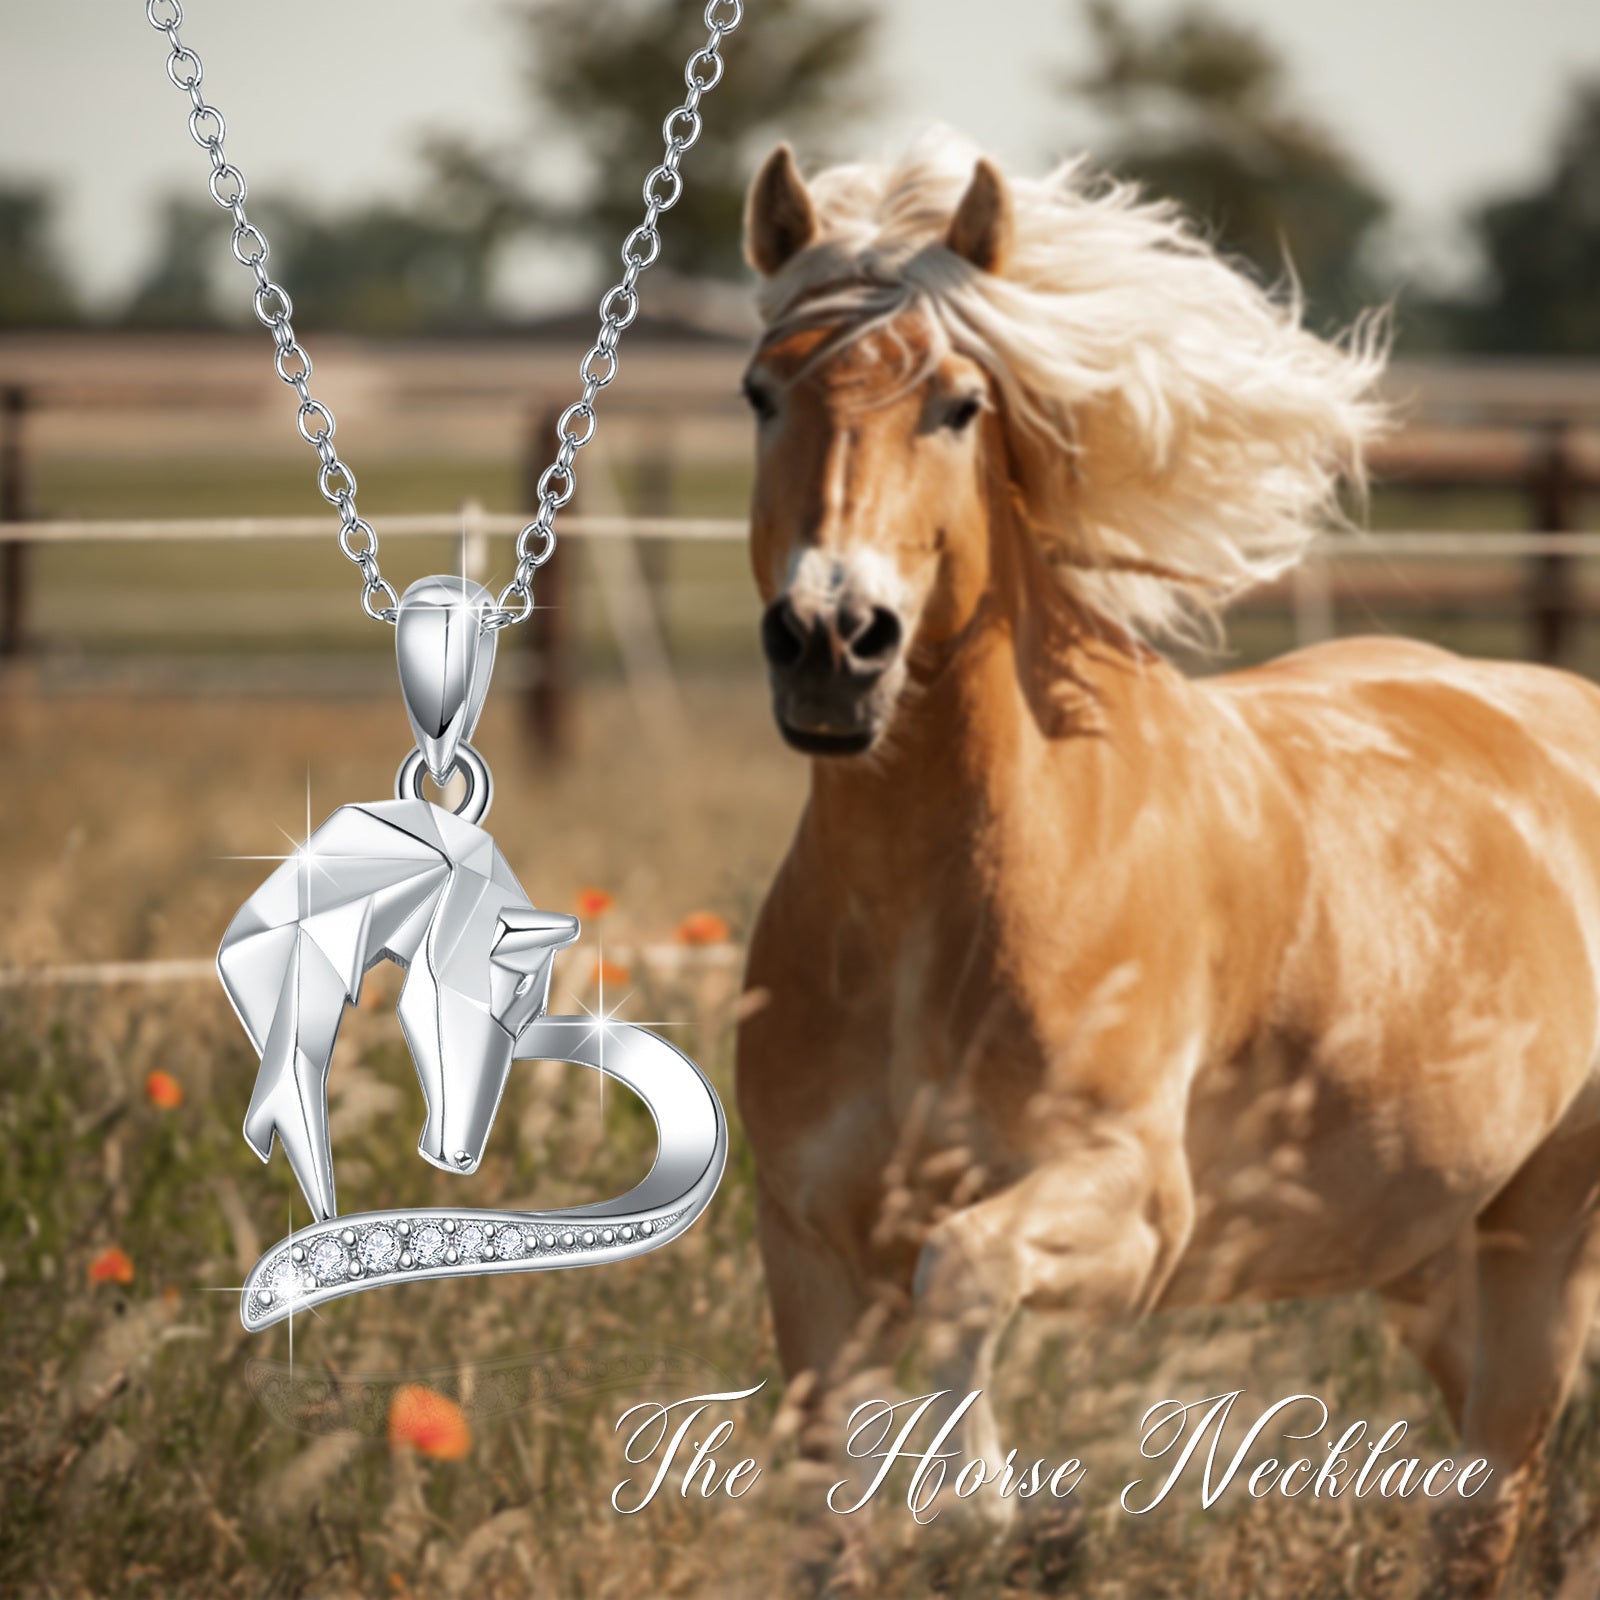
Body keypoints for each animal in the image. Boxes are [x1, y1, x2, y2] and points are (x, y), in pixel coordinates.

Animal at [732, 133, 1600, 1595]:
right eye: (757, 393)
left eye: (957, 404)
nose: (832, 642)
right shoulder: (810, 1256)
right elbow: (826, 1517)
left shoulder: (1133, 1204)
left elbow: (966, 1265)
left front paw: (966, 1488)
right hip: (1431, 1261)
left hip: (1544, 1242)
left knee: (1486, 1507)